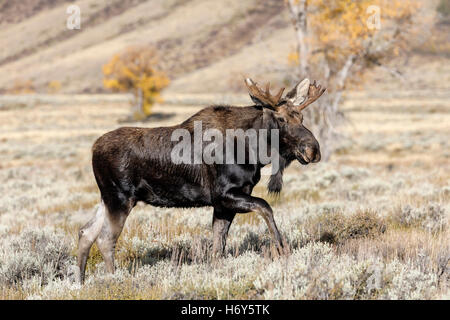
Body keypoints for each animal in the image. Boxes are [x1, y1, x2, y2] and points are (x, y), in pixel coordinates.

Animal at [76, 77, 324, 282]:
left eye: (301, 116)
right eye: (281, 119)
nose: (313, 150)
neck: (253, 150)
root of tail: (93, 149)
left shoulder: (224, 204)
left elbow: (218, 245)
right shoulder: (225, 194)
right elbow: (266, 207)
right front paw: (282, 250)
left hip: (106, 198)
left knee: (85, 233)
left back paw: (80, 282)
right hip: (120, 198)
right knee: (105, 239)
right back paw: (114, 279)